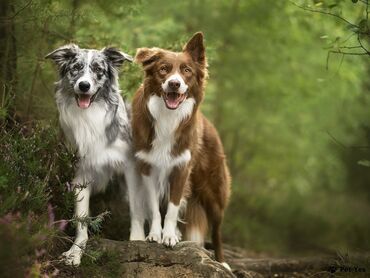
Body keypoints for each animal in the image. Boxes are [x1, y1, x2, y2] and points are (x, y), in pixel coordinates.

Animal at [132, 32, 230, 268]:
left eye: (187, 70)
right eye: (163, 69)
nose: (174, 84)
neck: (168, 118)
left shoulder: (181, 168)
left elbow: (173, 208)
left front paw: (168, 236)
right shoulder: (147, 167)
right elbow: (155, 207)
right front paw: (155, 235)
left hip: (214, 193)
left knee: (217, 232)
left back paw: (222, 262)